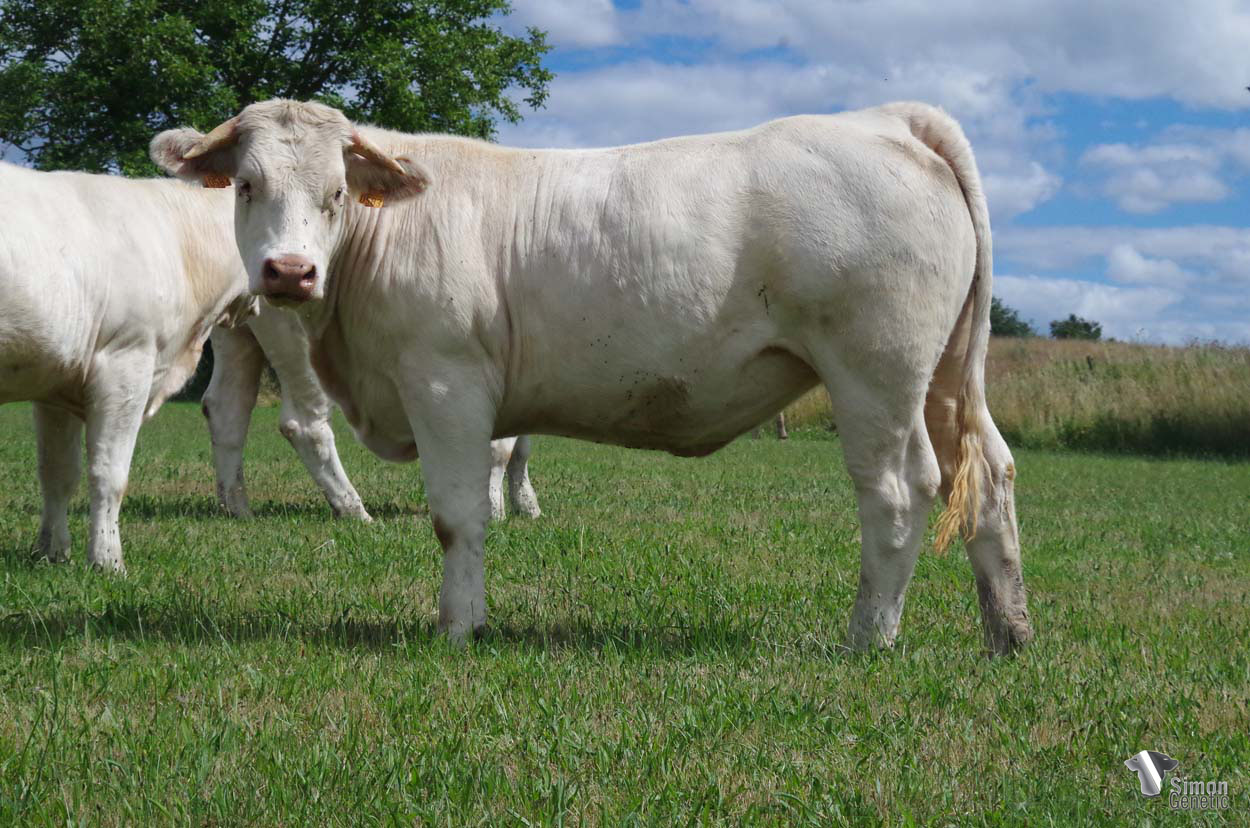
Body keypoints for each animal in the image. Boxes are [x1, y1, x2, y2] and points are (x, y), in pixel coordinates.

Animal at [0, 162, 256, 572]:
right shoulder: (125, 362)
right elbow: (109, 473)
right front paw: (107, 559)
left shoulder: (56, 386)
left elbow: (57, 472)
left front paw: (52, 551)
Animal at [204, 303, 541, 521]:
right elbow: (500, 450)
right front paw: (493, 509)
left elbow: (521, 448)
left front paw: (526, 504)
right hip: (298, 339)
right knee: (303, 424)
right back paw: (353, 509)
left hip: (236, 334)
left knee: (225, 408)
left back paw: (237, 506)